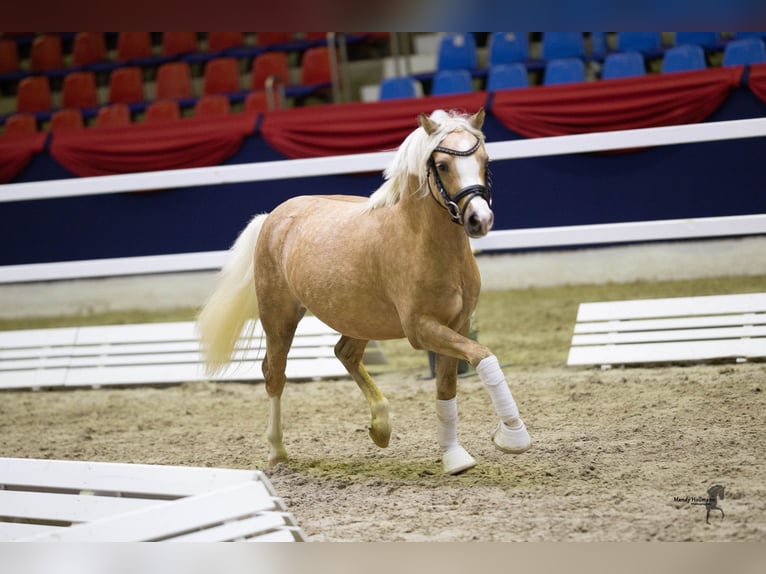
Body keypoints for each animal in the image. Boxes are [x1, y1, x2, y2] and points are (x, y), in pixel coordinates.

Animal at [198, 109, 532, 476]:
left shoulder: (456, 325)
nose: (479, 219)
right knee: (275, 374)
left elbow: (448, 389)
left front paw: (454, 457)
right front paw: (513, 437)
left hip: (358, 319)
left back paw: (380, 428)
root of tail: (274, 216)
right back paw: (277, 452)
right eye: (443, 165)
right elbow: (484, 356)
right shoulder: (421, 329)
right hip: (279, 317)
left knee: (344, 353)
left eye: (485, 161)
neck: (421, 240)